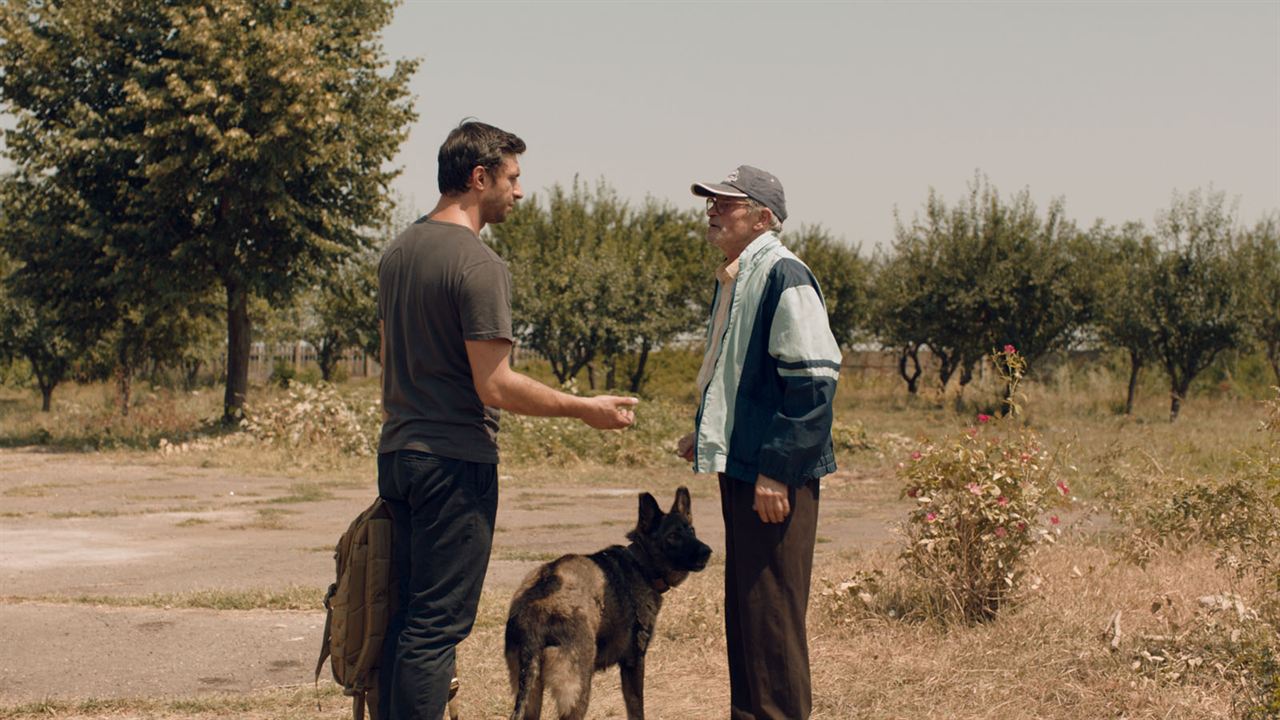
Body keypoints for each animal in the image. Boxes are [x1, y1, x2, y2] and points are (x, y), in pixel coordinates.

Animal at [504, 484, 716, 712]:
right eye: (673, 536)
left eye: (691, 531)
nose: (707, 551)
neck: (641, 563)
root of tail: (534, 615)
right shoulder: (634, 663)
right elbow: (637, 709)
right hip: (579, 692)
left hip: (532, 696)